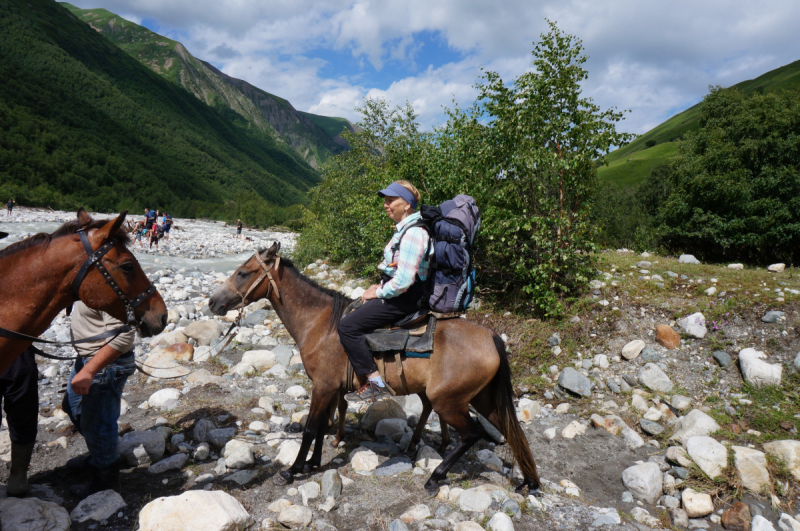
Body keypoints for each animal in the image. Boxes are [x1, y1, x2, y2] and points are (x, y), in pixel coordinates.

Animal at [209, 243, 540, 496]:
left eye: (243, 272)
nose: (212, 302)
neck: (320, 325)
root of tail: (491, 337)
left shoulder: (323, 386)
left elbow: (311, 428)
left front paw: (293, 470)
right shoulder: (330, 388)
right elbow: (324, 424)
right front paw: (314, 463)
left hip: (449, 401)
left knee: (472, 435)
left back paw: (436, 477)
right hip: (482, 399)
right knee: (511, 431)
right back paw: (530, 482)